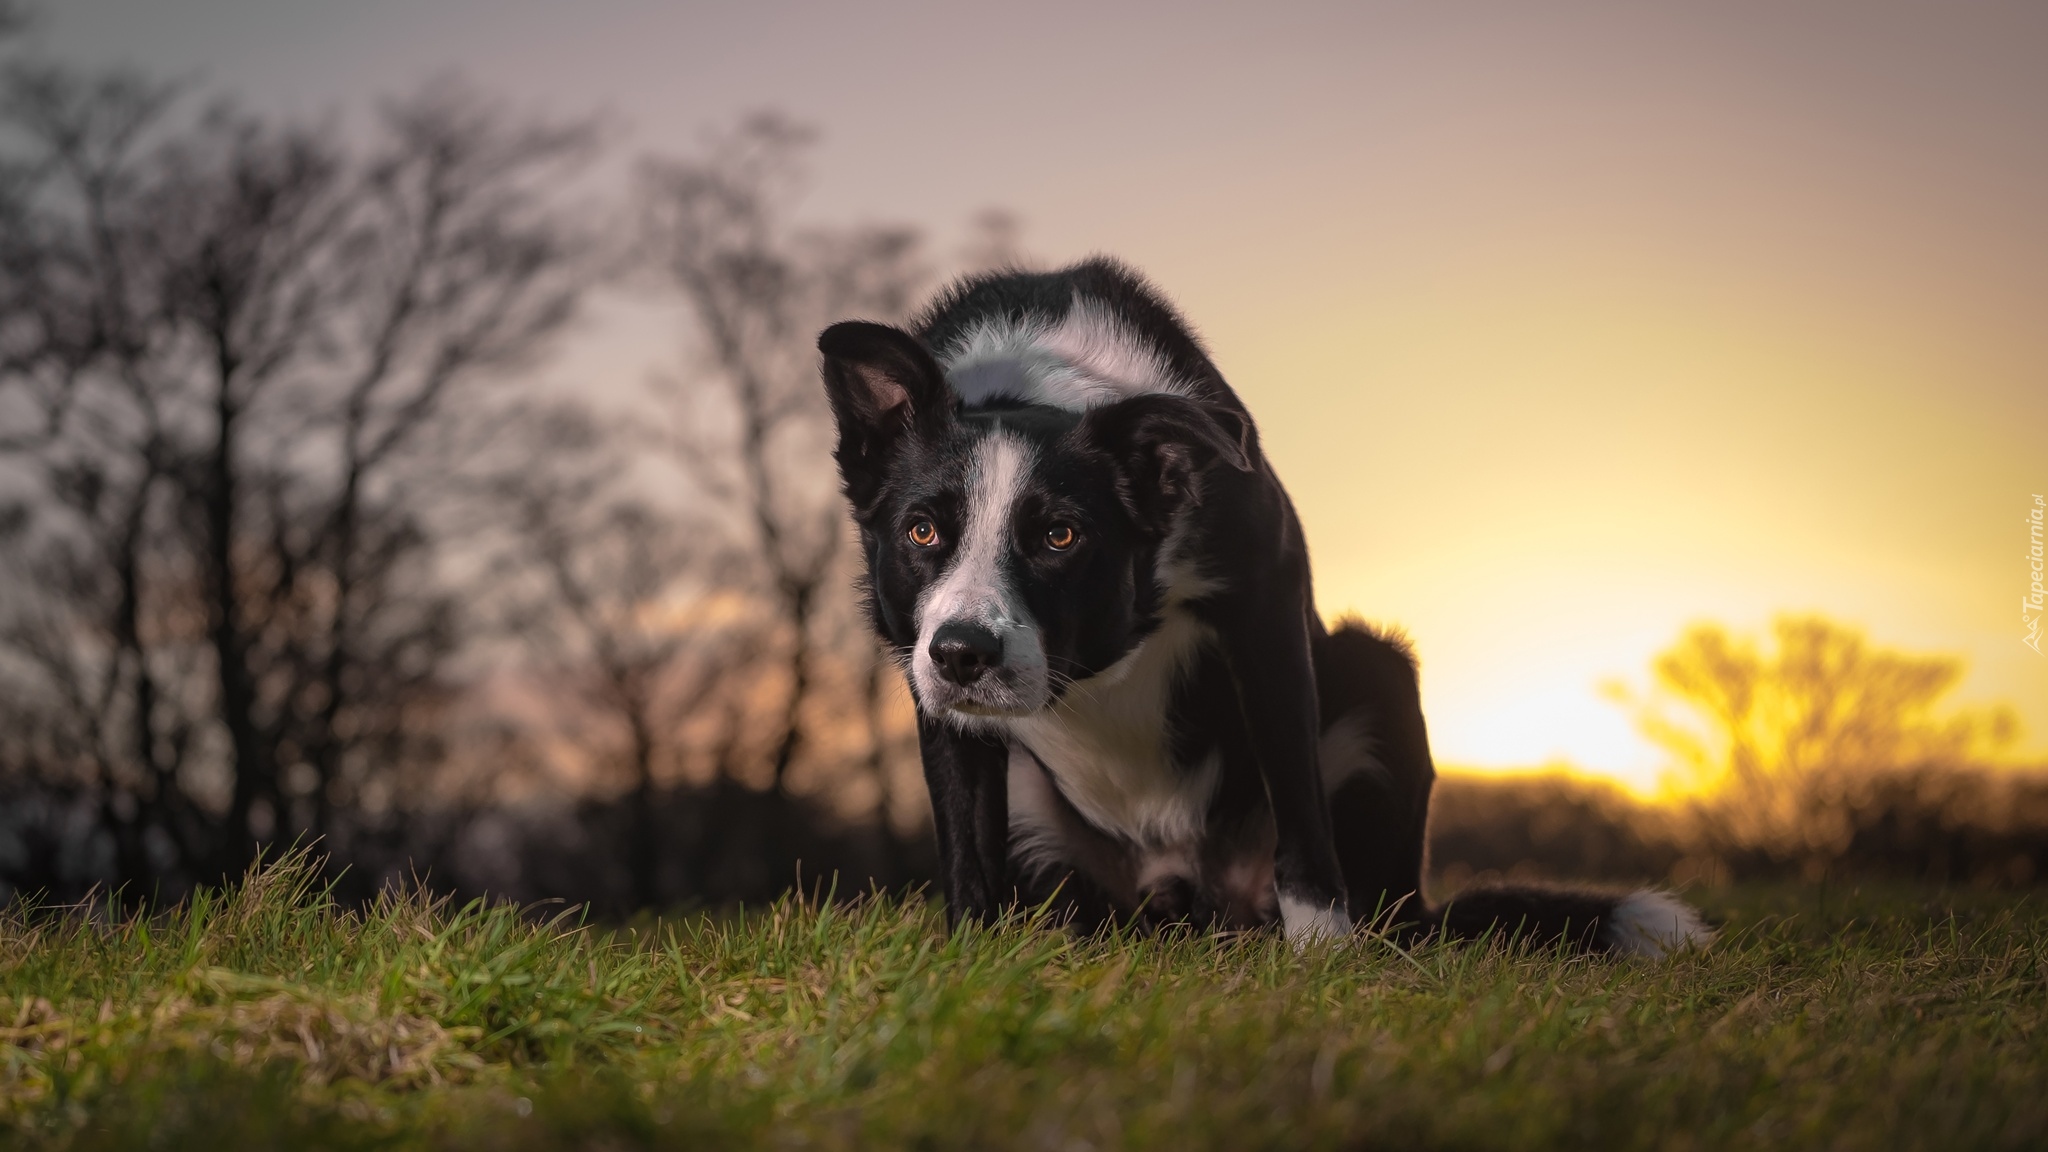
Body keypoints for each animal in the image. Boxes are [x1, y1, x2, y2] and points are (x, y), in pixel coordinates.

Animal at [815, 258, 1712, 951]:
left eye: (1061, 537)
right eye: (923, 530)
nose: (965, 654)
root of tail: (1191, 895)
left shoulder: (1265, 607)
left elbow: (1297, 800)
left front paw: (1325, 953)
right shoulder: (918, 655)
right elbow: (965, 835)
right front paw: (976, 955)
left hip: (1377, 671)